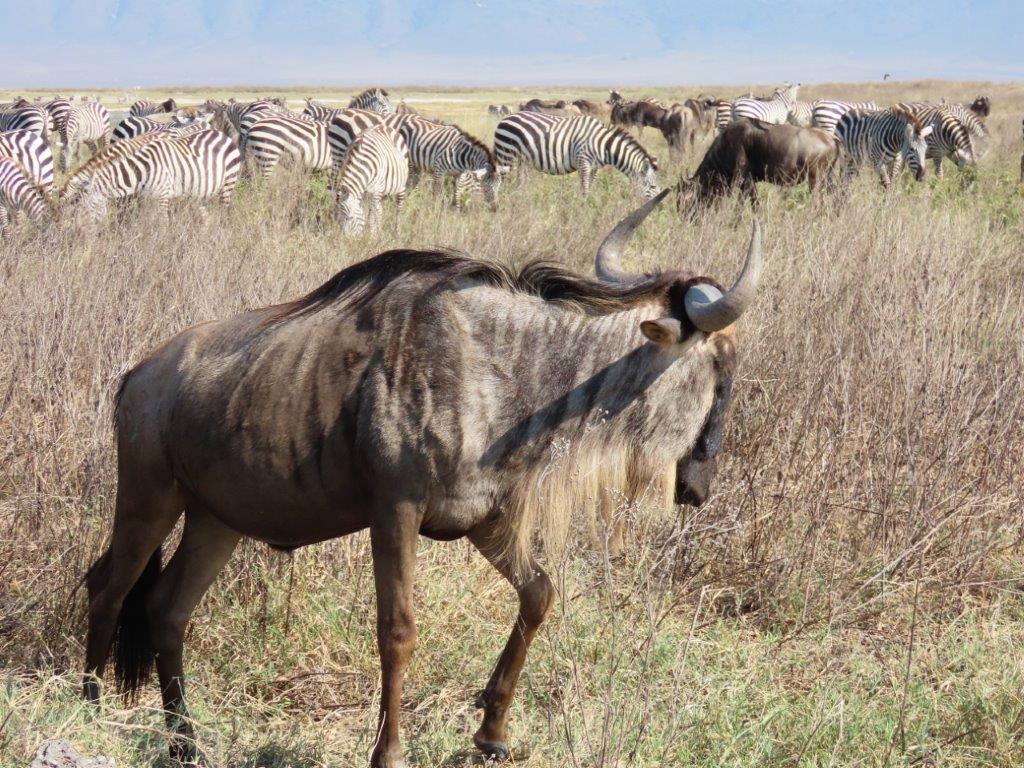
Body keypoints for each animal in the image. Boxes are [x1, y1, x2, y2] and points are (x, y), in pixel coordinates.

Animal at [60, 130, 241, 220]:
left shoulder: (151, 198)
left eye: (77, 208)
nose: (79, 237)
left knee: (224, 212)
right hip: (199, 190)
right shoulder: (140, 198)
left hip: (228, 184)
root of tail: (221, 133)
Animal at [494, 111, 660, 199]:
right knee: (500, 179)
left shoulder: (594, 167)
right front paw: (584, 206)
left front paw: (589, 204)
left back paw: (521, 197)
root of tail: (505, 118)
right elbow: (584, 188)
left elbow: (590, 185)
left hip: (522, 159)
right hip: (506, 154)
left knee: (520, 181)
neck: (603, 144)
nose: (659, 207)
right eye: (652, 186)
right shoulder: (583, 162)